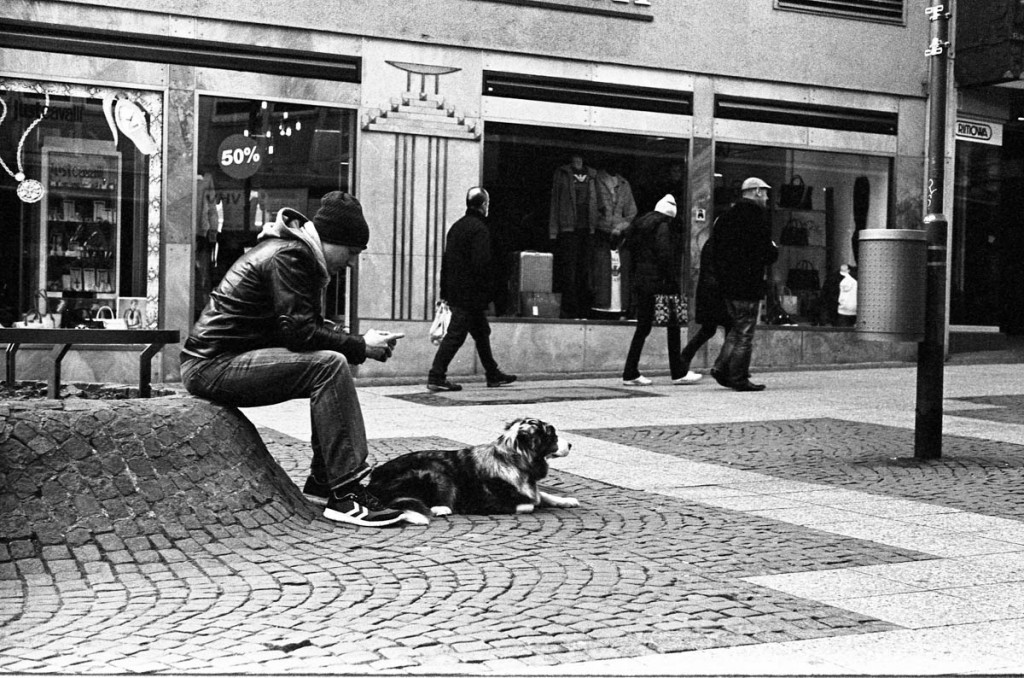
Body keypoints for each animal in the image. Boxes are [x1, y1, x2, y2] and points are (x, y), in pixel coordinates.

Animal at [366, 419, 577, 524]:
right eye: (552, 435)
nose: (570, 445)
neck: (511, 459)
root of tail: (372, 482)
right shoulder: (485, 503)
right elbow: (529, 504)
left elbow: (543, 495)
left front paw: (567, 500)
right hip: (435, 471)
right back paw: (441, 508)